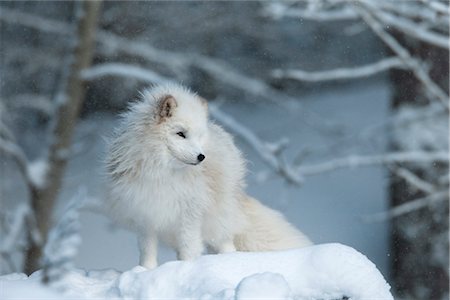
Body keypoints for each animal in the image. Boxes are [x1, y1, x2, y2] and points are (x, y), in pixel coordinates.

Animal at [105, 83, 312, 268]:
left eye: (198, 136)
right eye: (181, 134)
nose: (201, 157)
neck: (162, 173)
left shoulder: (189, 215)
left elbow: (190, 249)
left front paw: (187, 268)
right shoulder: (145, 215)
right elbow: (147, 251)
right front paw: (145, 271)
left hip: (218, 222)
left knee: (226, 244)